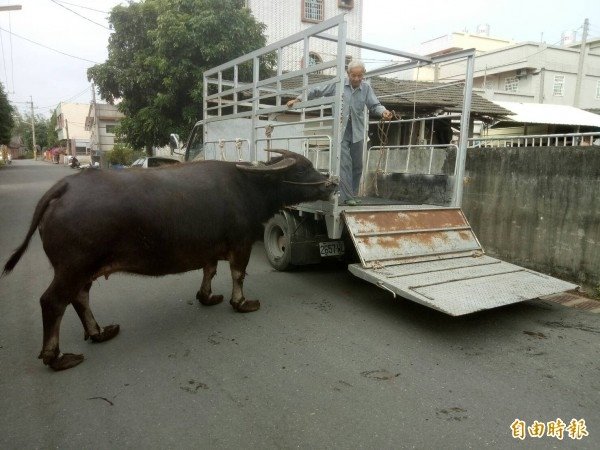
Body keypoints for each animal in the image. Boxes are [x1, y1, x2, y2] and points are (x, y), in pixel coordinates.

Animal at [2, 149, 336, 370]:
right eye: (303, 169)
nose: (331, 183)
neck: (249, 187)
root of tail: (64, 187)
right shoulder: (241, 244)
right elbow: (238, 275)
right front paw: (241, 303)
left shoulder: (209, 247)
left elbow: (209, 271)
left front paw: (207, 297)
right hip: (72, 267)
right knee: (53, 302)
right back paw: (58, 357)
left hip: (83, 269)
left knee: (80, 298)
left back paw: (99, 333)